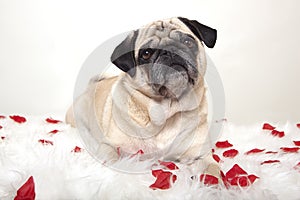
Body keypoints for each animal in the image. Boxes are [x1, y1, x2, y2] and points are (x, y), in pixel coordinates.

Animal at [67, 17, 219, 177]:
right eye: (146, 53)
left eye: (187, 42)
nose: (169, 51)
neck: (165, 110)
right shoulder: (109, 146)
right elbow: (112, 161)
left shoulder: (201, 155)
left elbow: (213, 172)